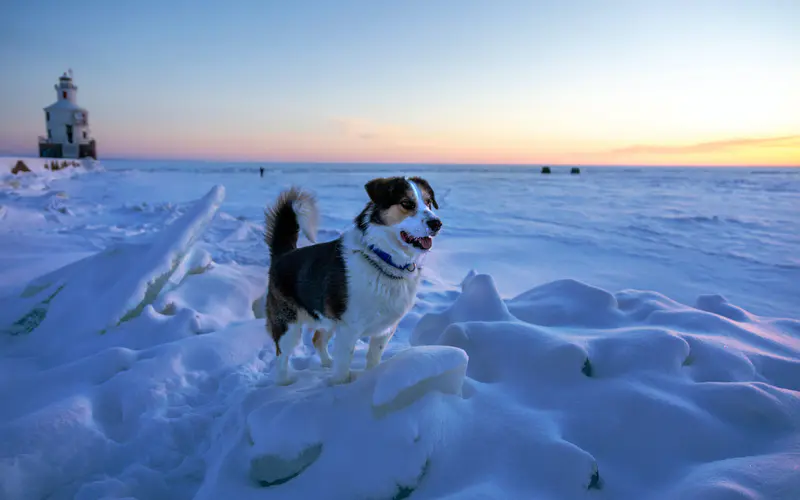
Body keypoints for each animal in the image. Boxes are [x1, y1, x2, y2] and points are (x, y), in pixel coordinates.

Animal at [262, 177, 440, 386]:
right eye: (407, 203)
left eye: (428, 202)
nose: (437, 223)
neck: (381, 258)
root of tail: (283, 255)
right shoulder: (348, 329)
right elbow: (343, 368)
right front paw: (341, 388)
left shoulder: (384, 330)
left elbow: (373, 358)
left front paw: (370, 379)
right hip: (288, 325)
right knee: (282, 355)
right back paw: (284, 384)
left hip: (329, 317)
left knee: (317, 339)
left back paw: (326, 364)